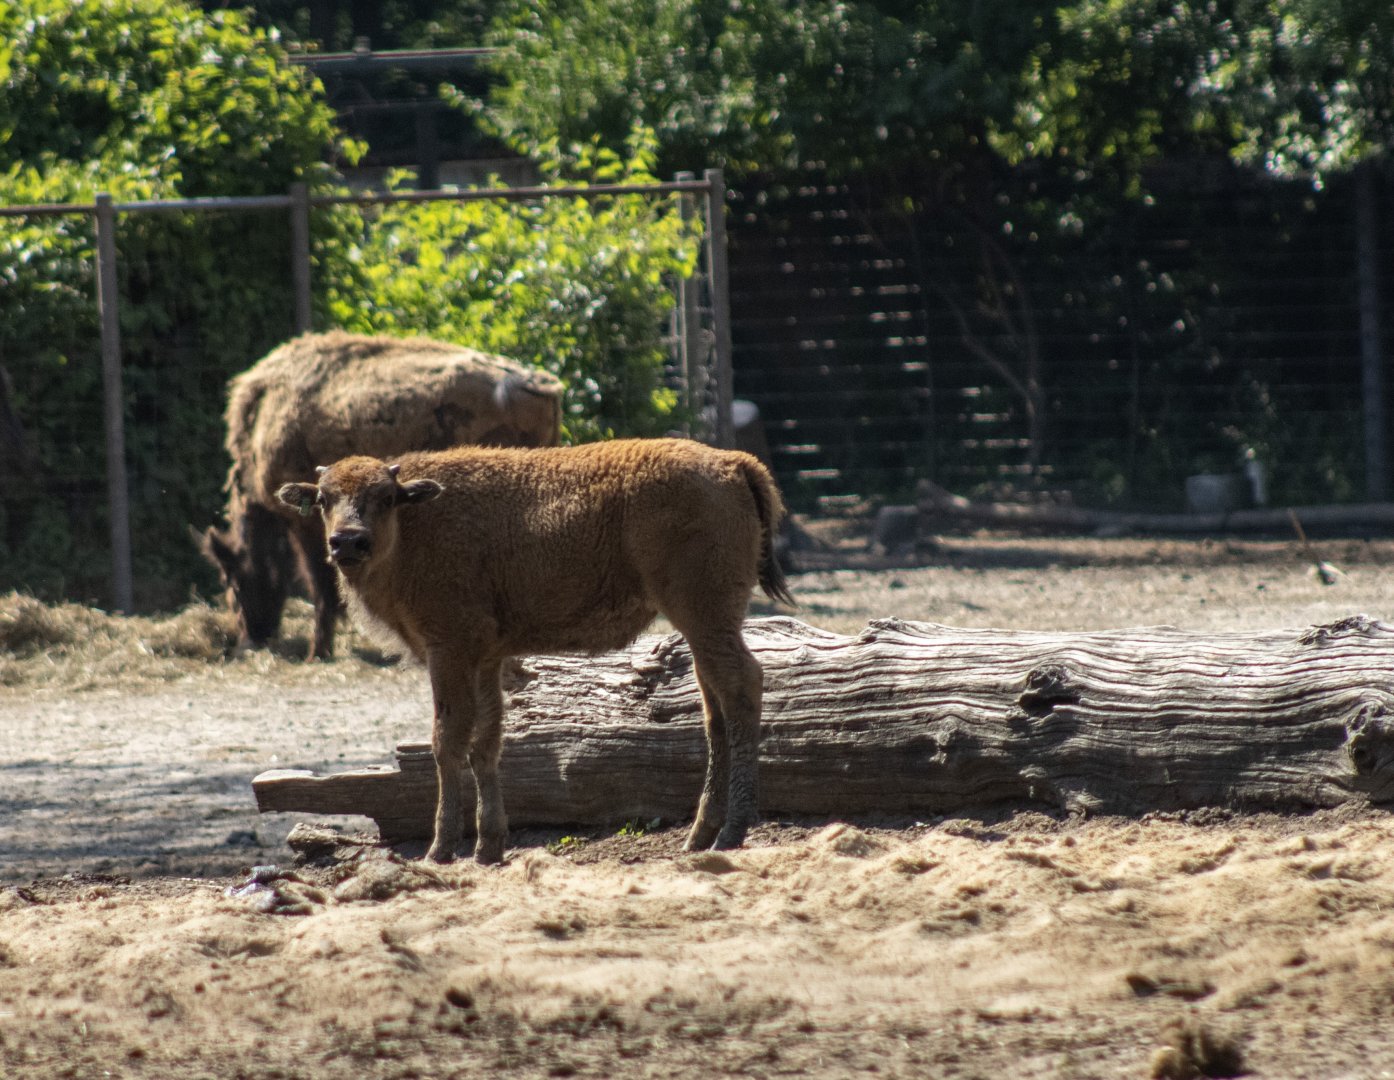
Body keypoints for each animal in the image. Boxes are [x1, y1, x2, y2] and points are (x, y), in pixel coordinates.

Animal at [200, 331, 562, 660]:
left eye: (233, 580)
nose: (248, 640)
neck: (262, 419)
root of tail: (542, 386)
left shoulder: (304, 525)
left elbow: (321, 584)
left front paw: (319, 651)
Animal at [276, 438, 795, 864]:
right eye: (323, 499)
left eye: (385, 498)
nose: (348, 542)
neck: (416, 522)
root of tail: (734, 462)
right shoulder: (486, 659)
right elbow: (486, 743)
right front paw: (488, 846)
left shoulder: (449, 650)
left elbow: (448, 740)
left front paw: (441, 848)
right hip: (703, 625)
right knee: (714, 708)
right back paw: (699, 835)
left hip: (704, 615)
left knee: (742, 685)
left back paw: (731, 832)